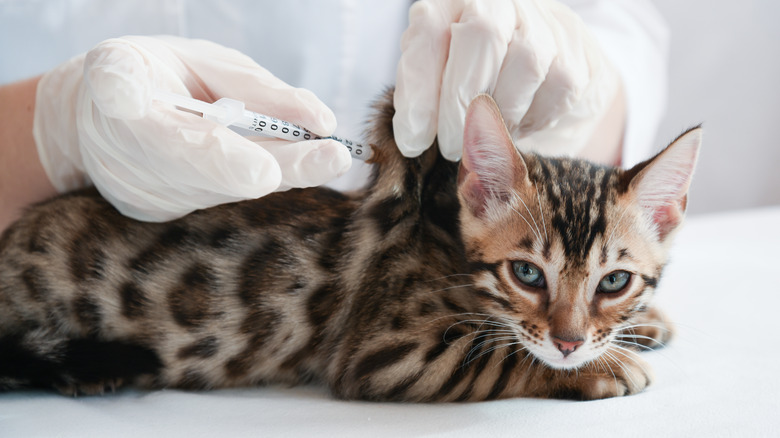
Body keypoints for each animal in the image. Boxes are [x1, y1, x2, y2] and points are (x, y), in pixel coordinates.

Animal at [0, 90, 700, 400]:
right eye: (528, 274)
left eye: (614, 282)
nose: (570, 342)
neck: (446, 246)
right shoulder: (386, 352)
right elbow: (500, 353)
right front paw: (604, 367)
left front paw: (644, 325)